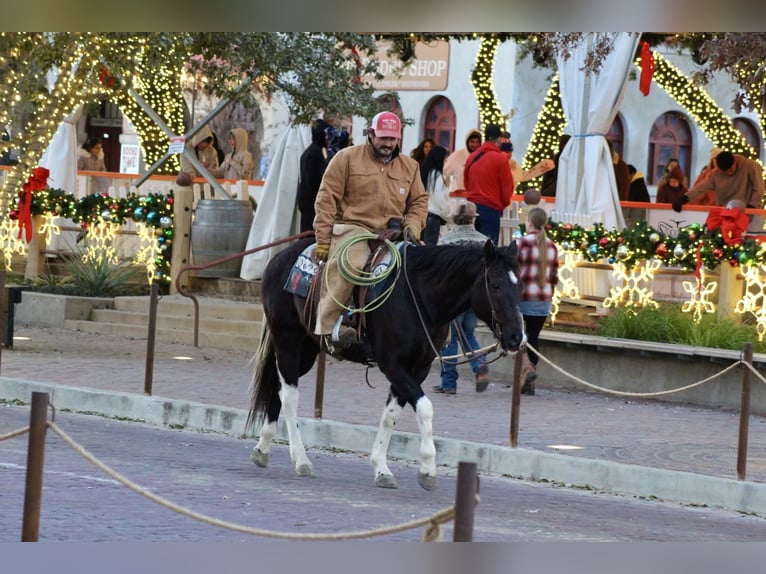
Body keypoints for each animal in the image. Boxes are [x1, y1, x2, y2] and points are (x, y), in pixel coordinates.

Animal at [249, 238, 524, 490]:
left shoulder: (418, 368)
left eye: (520, 285)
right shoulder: (393, 365)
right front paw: (428, 469)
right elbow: (425, 408)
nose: (517, 337)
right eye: (496, 285)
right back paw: (301, 459)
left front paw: (381, 468)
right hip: (288, 340)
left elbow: (391, 415)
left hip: (307, 349)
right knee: (289, 396)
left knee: (277, 387)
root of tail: (278, 258)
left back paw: (263, 448)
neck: (420, 297)